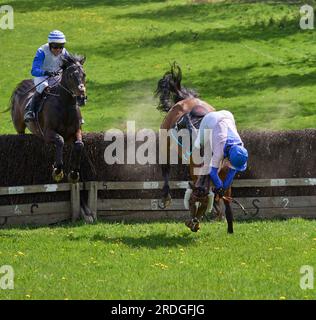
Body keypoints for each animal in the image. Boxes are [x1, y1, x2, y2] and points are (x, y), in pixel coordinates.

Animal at [9, 53, 87, 181]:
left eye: (84, 74)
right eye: (71, 75)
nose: (82, 95)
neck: (65, 104)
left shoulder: (75, 131)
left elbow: (79, 145)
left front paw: (74, 173)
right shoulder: (47, 133)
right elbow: (60, 140)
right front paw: (57, 170)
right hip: (19, 127)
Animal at [156, 62, 235, 232]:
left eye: (204, 206)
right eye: (191, 203)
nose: (193, 223)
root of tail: (186, 99)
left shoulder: (225, 173)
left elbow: (223, 194)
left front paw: (221, 213)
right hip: (165, 145)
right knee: (165, 169)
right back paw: (165, 197)